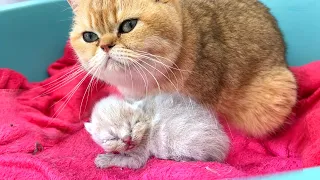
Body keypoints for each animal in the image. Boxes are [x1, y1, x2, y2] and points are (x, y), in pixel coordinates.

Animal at [84, 93, 230, 169]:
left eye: (133, 125)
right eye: (112, 138)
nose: (128, 139)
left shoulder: (138, 157)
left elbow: (121, 159)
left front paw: (104, 159)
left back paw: (178, 158)